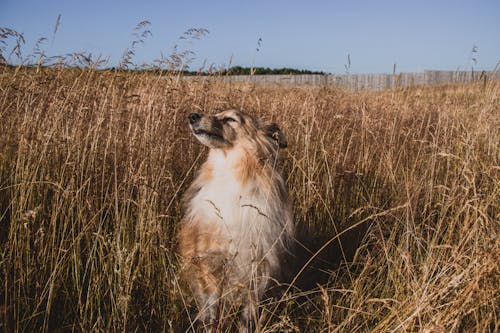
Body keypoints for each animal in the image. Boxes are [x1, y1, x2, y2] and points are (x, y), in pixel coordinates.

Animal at [177, 109, 292, 330]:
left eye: (231, 119)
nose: (192, 116)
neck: (229, 174)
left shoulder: (258, 267)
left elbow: (247, 314)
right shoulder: (209, 261)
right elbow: (212, 307)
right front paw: (210, 325)